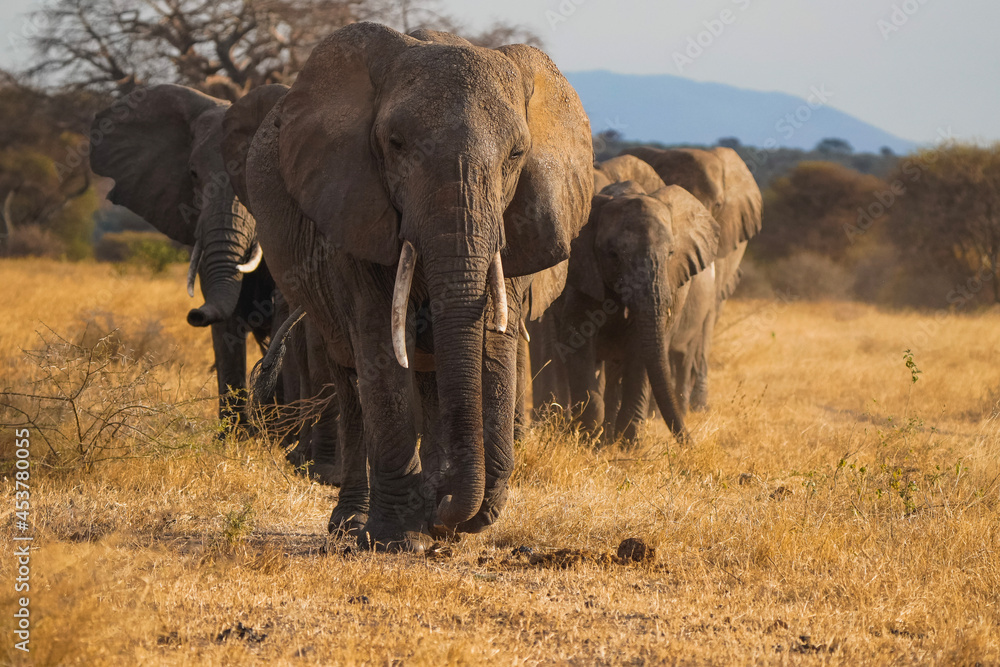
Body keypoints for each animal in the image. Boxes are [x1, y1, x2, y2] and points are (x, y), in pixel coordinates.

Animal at [221, 23, 592, 552]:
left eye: (517, 155)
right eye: (395, 144)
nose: (446, 513)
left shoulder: (517, 223)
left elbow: (492, 345)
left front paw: (440, 519)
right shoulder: (353, 209)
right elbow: (379, 347)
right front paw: (398, 539)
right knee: (350, 376)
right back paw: (351, 525)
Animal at [548, 179, 720, 444]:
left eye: (671, 254)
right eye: (613, 255)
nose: (693, 444)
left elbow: (641, 352)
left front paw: (627, 444)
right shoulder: (583, 275)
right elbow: (578, 344)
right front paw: (587, 438)